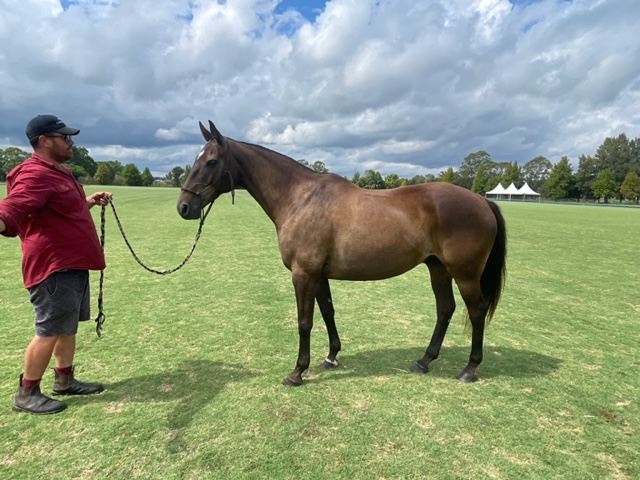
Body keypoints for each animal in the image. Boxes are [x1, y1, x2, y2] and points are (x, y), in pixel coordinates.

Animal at [177, 121, 507, 386]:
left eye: (211, 161)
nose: (183, 207)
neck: (300, 198)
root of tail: (482, 201)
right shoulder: (319, 275)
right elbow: (327, 312)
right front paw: (331, 356)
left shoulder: (303, 274)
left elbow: (304, 322)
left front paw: (297, 372)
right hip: (437, 268)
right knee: (445, 310)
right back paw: (423, 361)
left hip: (465, 274)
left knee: (476, 312)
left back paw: (469, 369)